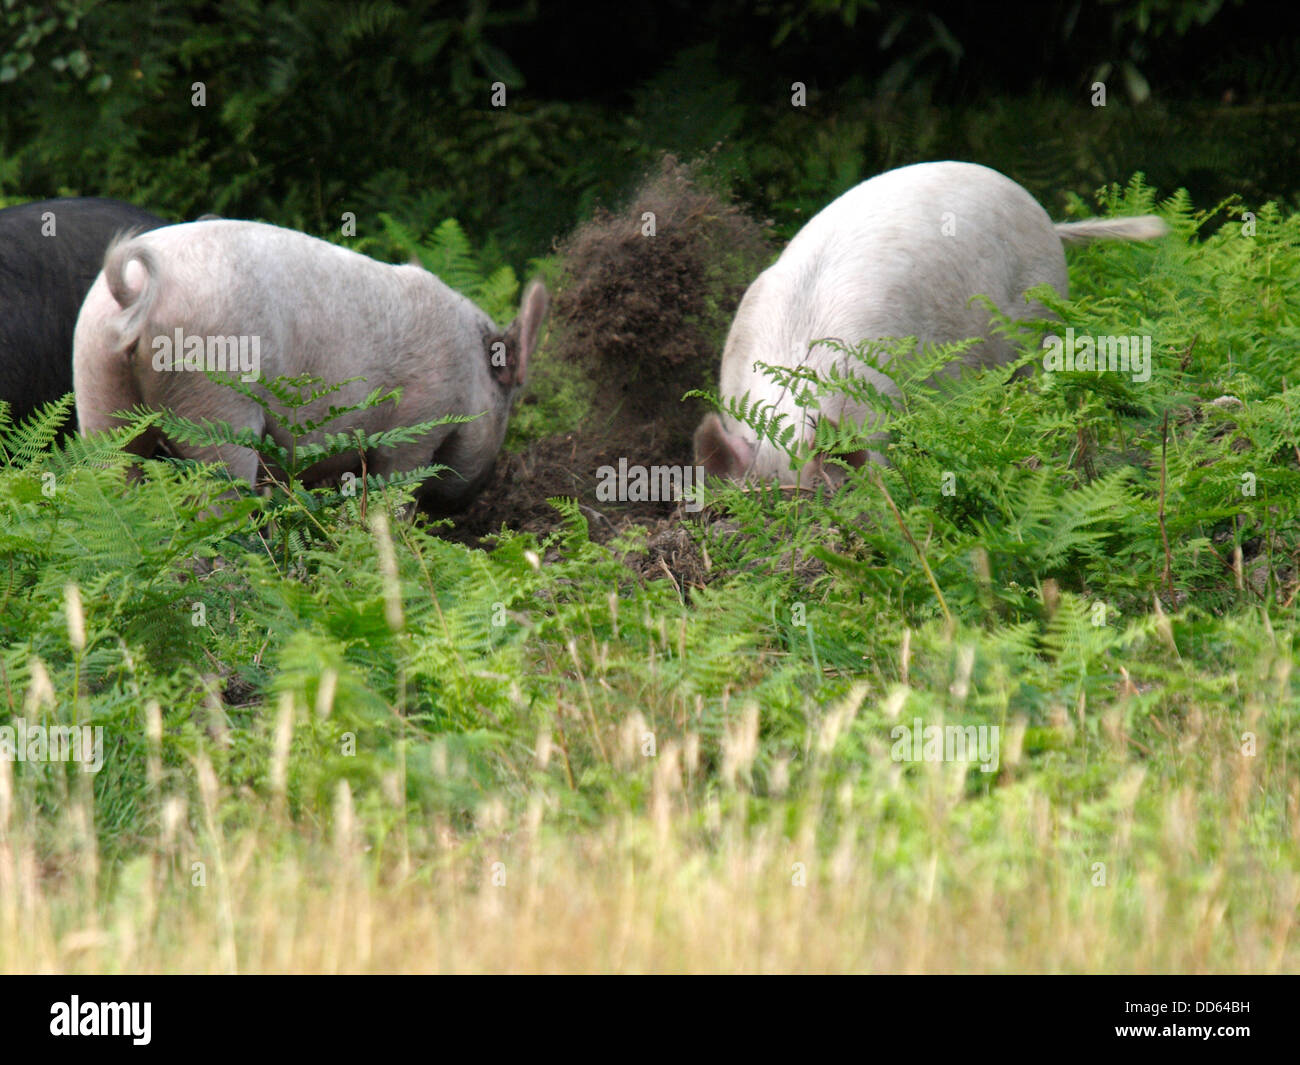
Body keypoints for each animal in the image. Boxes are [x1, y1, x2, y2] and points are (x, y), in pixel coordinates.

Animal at [71, 218, 548, 509]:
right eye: (507, 404)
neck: (469, 369)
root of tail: (134, 294)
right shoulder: (420, 421)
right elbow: (398, 487)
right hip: (213, 398)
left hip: (95, 377)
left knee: (112, 476)